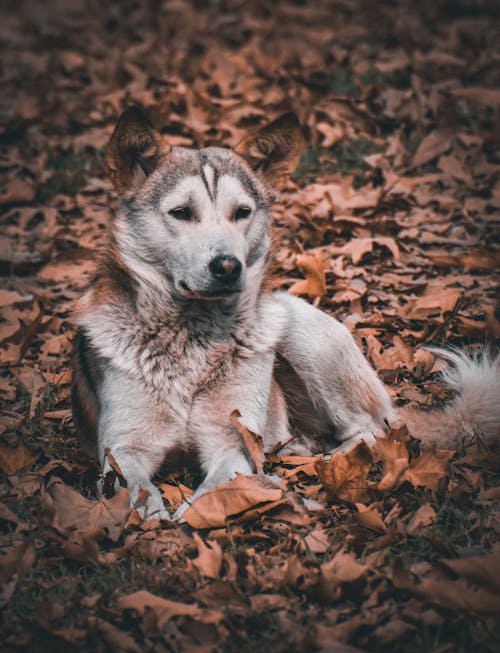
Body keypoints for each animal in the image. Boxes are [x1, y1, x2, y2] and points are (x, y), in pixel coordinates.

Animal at [71, 107, 500, 520]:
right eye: (181, 212)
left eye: (242, 212)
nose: (228, 267)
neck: (193, 338)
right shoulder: (123, 450)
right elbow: (137, 492)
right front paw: (155, 520)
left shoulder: (233, 441)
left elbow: (212, 491)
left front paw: (191, 517)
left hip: (301, 331)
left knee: (369, 431)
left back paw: (332, 460)